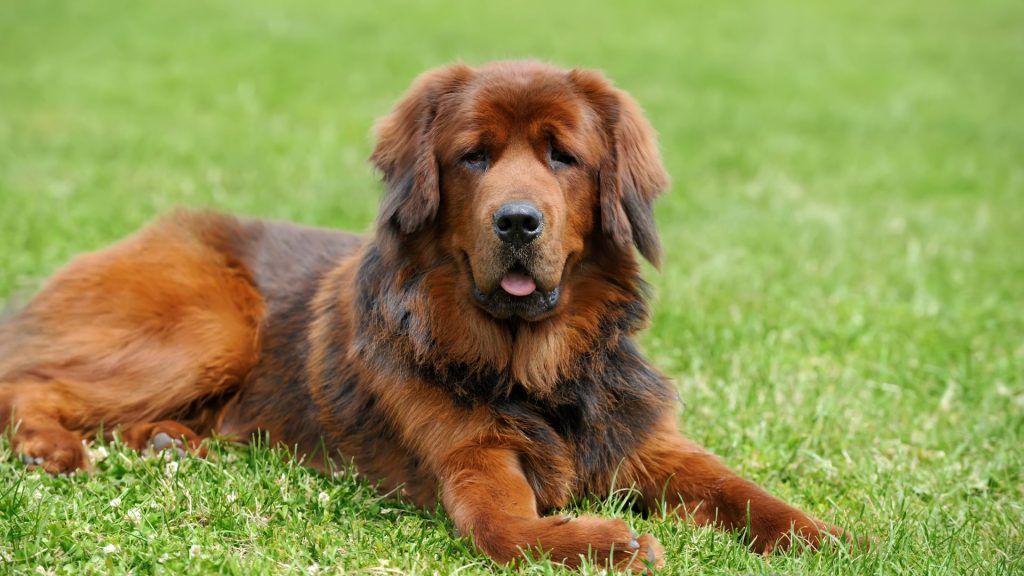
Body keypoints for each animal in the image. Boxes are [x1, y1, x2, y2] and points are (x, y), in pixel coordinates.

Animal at [0, 60, 843, 565]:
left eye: (562, 157)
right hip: (209, 325)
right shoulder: (471, 461)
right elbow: (510, 529)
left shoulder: (649, 441)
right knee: (28, 381)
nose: (517, 222)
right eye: (474, 156)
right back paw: (51, 447)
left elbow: (746, 491)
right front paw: (611, 543)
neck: (536, 372)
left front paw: (830, 536)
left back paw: (171, 442)